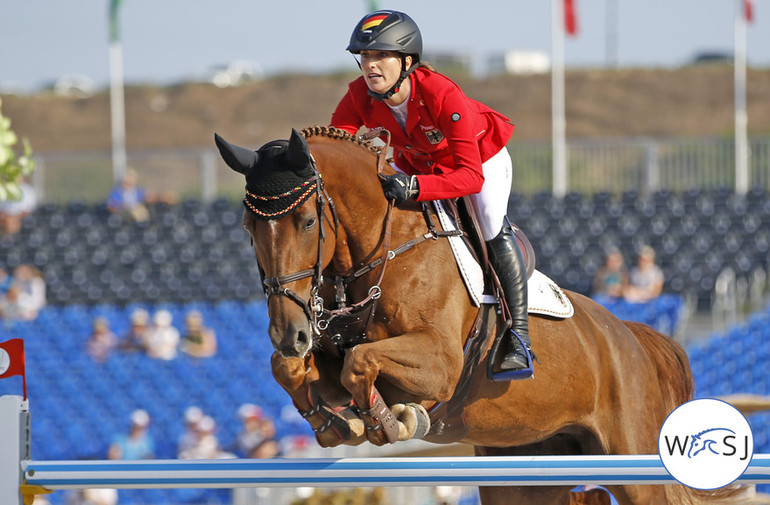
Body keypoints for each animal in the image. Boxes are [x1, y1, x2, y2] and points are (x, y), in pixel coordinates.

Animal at [213, 124, 748, 502]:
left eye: (307, 222)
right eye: (246, 228)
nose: (289, 333)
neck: (382, 252)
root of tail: (632, 337)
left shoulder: (440, 365)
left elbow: (360, 363)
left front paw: (393, 421)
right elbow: (293, 369)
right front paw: (335, 421)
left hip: (633, 465)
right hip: (524, 470)